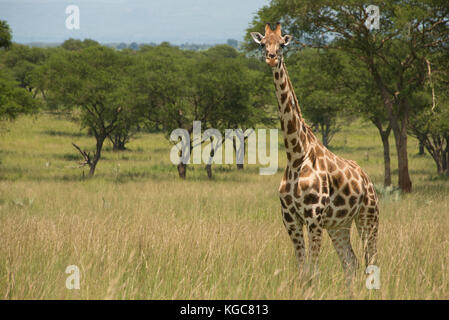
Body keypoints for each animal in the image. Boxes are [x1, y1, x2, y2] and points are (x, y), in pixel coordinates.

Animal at [250, 23, 380, 282]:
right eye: (263, 44)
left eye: (282, 44)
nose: (271, 58)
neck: (296, 154)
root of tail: (367, 179)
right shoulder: (290, 219)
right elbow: (303, 271)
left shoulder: (314, 217)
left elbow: (314, 272)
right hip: (340, 225)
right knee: (351, 262)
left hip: (368, 217)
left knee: (370, 260)